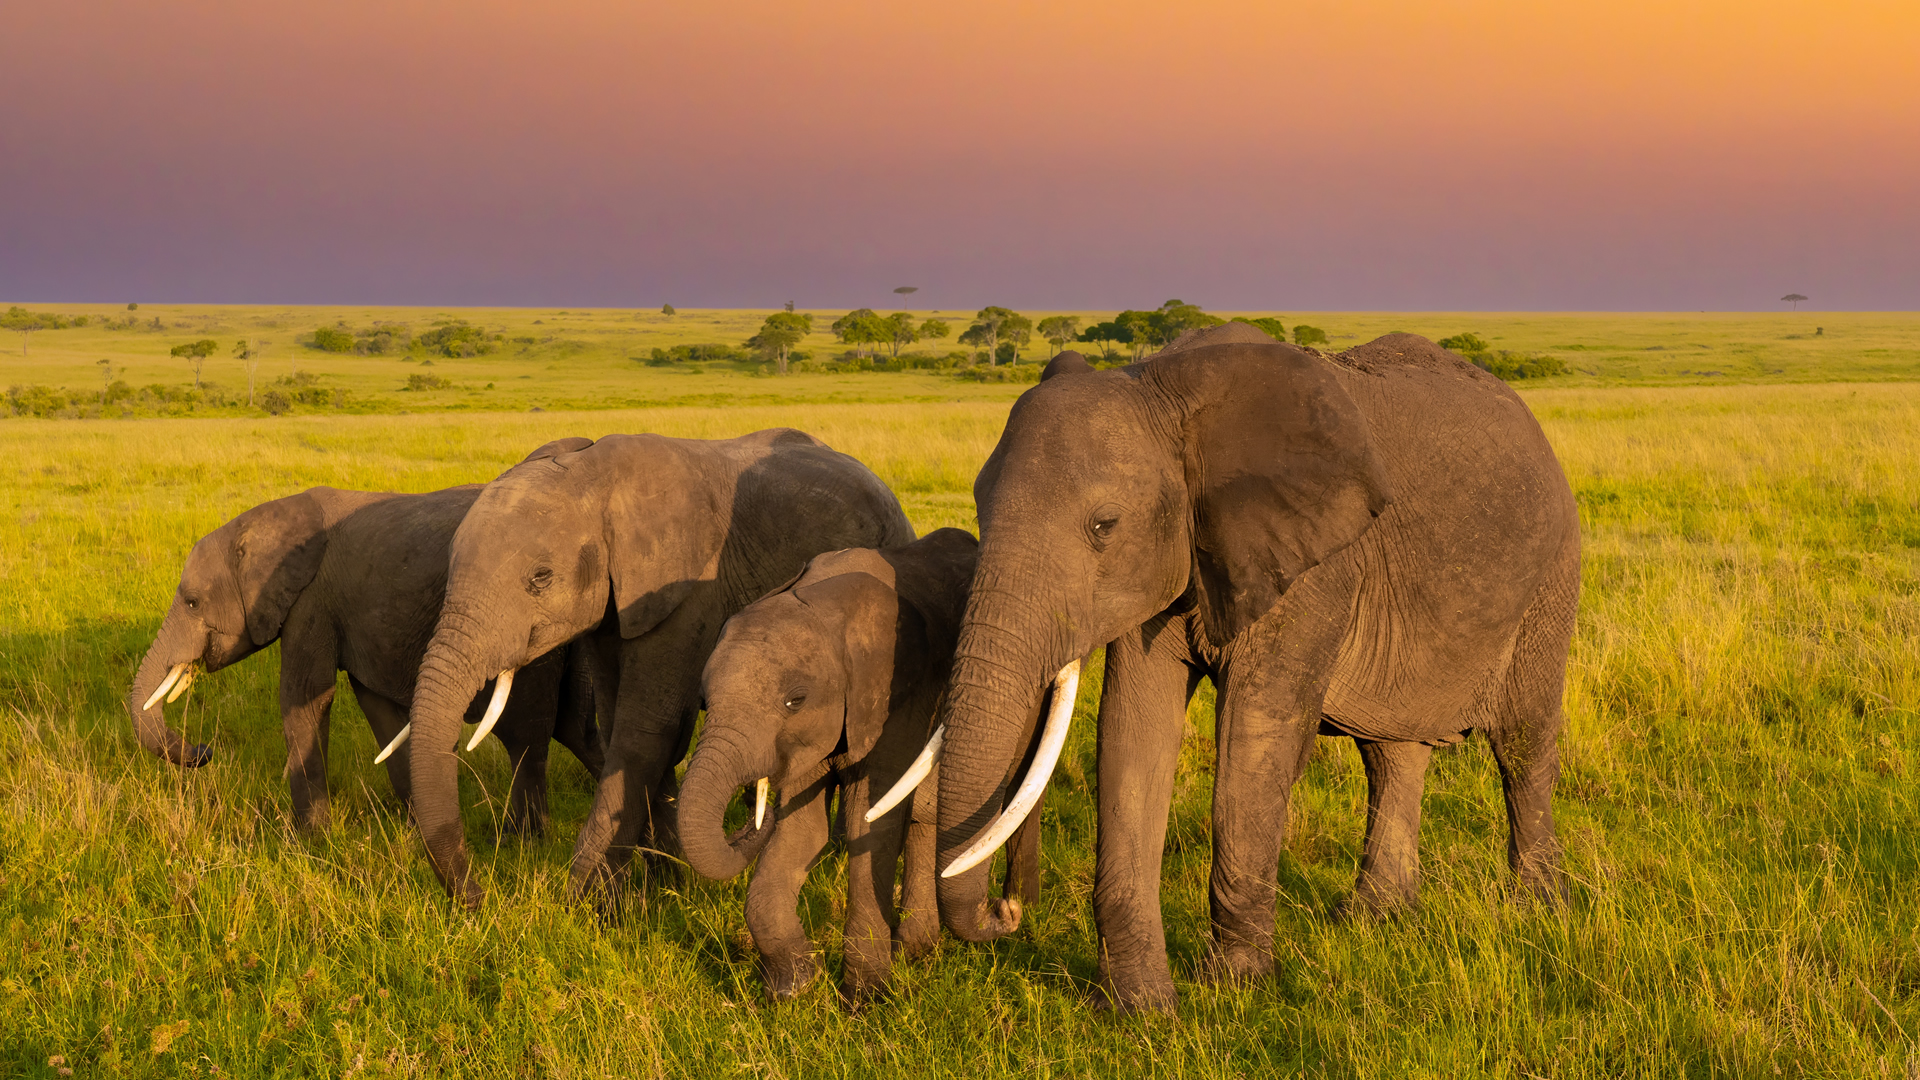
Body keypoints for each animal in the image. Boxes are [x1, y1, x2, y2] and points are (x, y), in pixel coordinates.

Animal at [129, 438, 599, 834]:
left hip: (532, 630)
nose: (203, 752)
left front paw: (309, 839)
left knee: (526, 734)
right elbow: (380, 711)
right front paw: (412, 831)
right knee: (576, 727)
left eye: (192, 603)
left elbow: (305, 699)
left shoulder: (311, 602)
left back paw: (523, 841)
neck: (262, 522)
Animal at [397, 424, 913, 903]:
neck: (595, 477)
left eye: (540, 578)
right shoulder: (613, 608)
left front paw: (585, 901)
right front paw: (664, 880)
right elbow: (623, 725)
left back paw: (837, 851)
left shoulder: (689, 588)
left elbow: (645, 730)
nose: (478, 897)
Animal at [679, 530, 1052, 999]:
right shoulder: (815, 734)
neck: (824, 602)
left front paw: (866, 999)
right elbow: (804, 831)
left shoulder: (897, 696)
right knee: (927, 815)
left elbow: (868, 820)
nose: (1006, 912)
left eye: (794, 701)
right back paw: (918, 950)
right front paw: (790, 990)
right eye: (703, 702)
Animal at [890, 320, 1582, 1006]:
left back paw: (1536, 910)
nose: (1006, 913)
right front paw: (1141, 1008)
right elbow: (1132, 734)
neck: (1163, 388)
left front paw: (1235, 989)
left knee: (1521, 746)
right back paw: (1374, 919)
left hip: (1552, 574)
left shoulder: (1315, 565)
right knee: (1391, 755)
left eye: (1104, 526)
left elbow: (1254, 739)